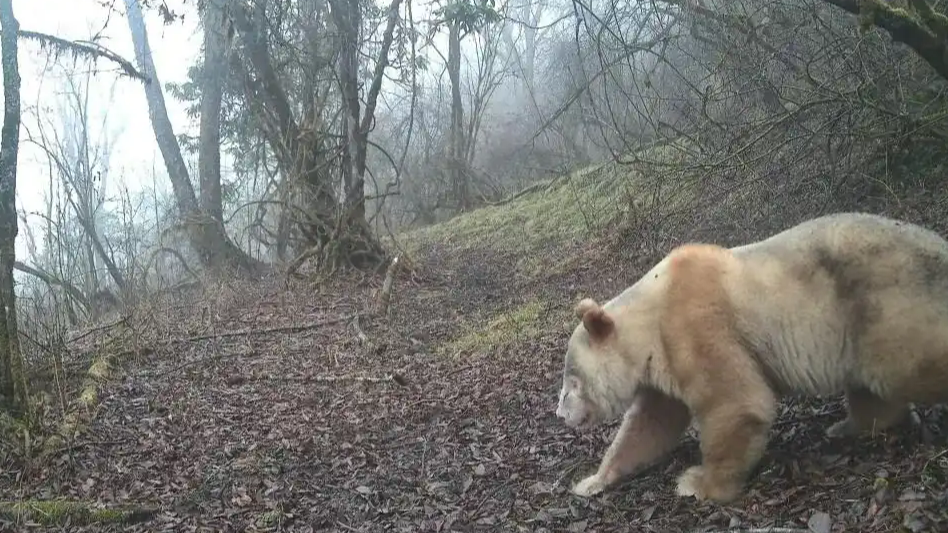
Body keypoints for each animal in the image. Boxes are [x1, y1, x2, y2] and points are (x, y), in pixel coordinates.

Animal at [554, 211, 948, 503]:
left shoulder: (697, 325)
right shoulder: (661, 359)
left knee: (909, 362)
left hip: (882, 298)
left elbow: (736, 401)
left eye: (571, 382)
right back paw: (852, 426)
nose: (560, 414)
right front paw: (591, 481)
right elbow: (650, 424)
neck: (652, 312)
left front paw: (697, 483)